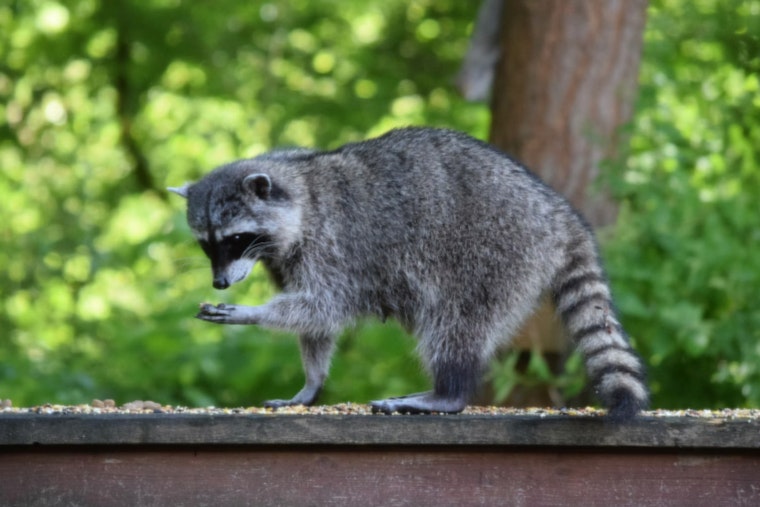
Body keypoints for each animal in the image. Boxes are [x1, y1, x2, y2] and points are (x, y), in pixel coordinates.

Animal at [168, 127, 648, 419]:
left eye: (234, 239)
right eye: (206, 244)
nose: (219, 282)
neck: (298, 187)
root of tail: (558, 212)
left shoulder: (334, 245)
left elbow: (325, 306)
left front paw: (251, 313)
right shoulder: (288, 259)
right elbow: (316, 324)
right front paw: (311, 382)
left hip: (494, 253)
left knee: (455, 324)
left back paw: (447, 392)